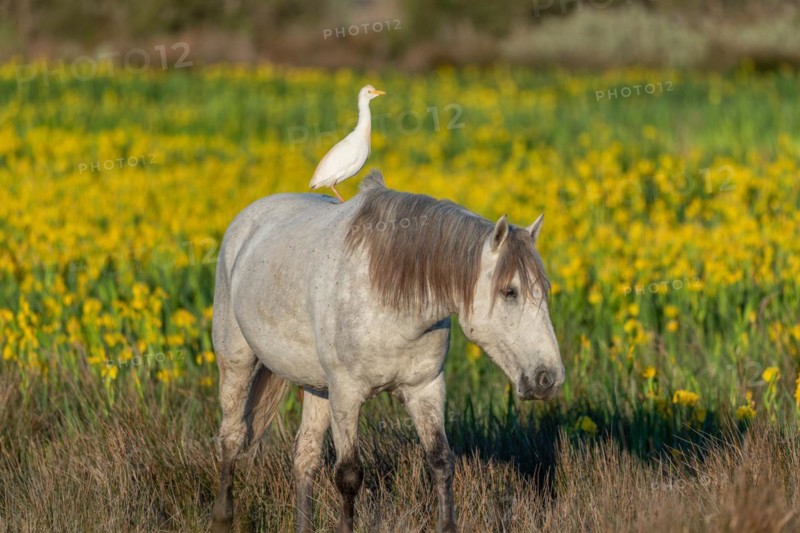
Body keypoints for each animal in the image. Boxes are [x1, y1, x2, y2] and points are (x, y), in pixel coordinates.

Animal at [210, 170, 564, 533]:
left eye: (544, 290)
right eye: (510, 292)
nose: (548, 378)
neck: (392, 299)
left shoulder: (424, 388)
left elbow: (441, 461)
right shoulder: (346, 395)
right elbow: (349, 476)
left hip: (317, 386)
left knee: (304, 456)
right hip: (237, 361)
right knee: (232, 437)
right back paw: (223, 517)